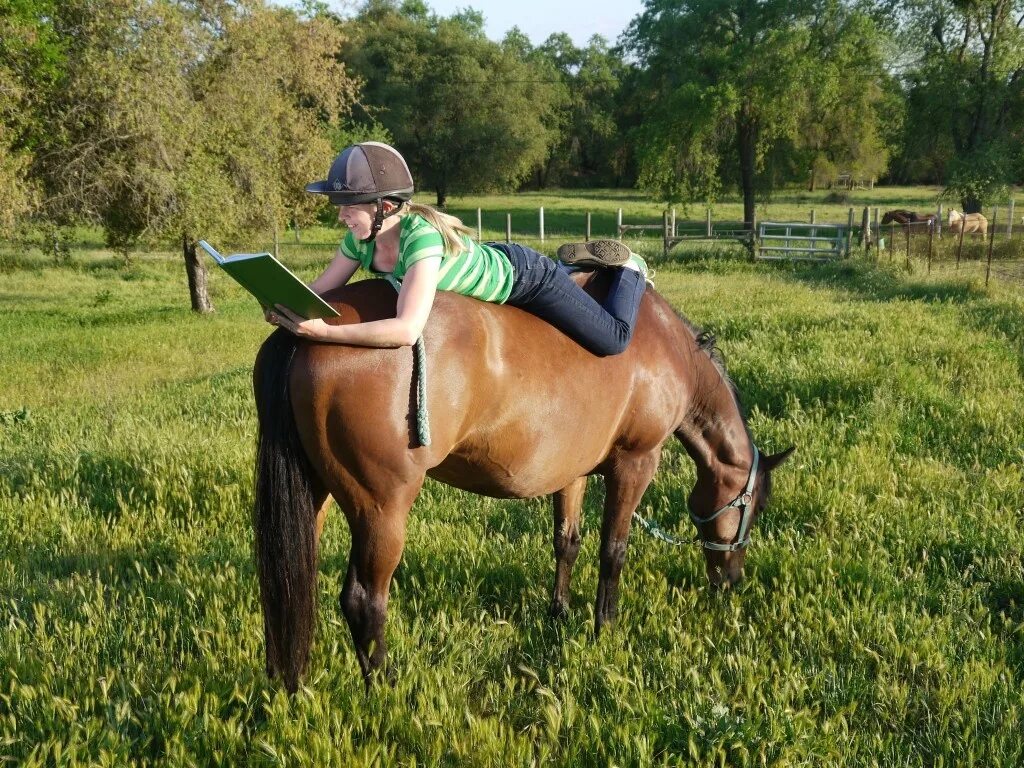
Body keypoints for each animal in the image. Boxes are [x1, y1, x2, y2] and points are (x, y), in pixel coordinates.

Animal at [251, 272, 794, 692]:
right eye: (754, 508)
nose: (732, 580)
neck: (666, 345)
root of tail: (305, 330)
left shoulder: (573, 471)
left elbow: (566, 542)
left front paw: (560, 613)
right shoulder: (635, 464)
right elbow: (613, 550)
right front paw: (604, 627)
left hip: (317, 497)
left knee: (289, 581)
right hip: (381, 509)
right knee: (364, 601)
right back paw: (384, 689)